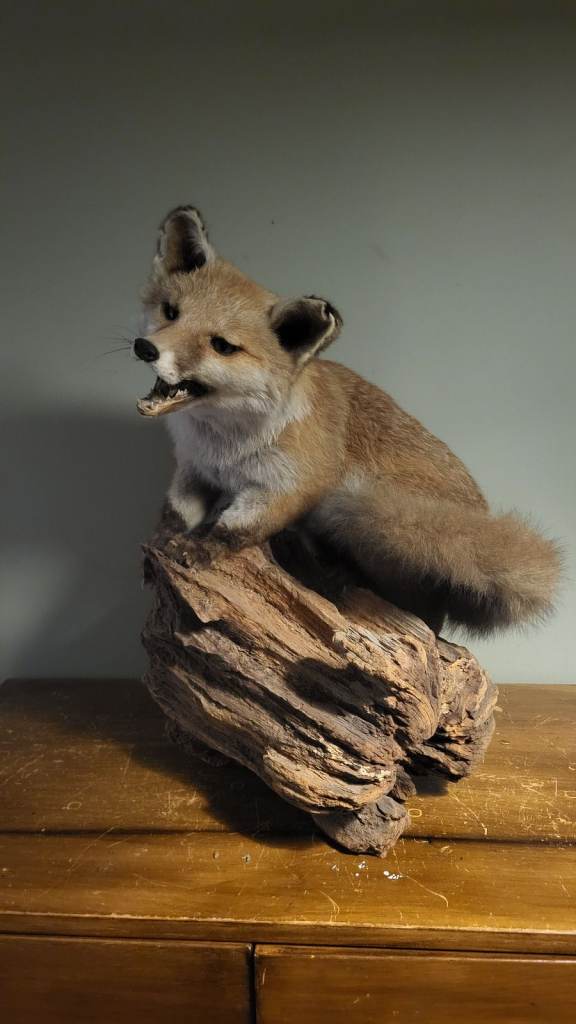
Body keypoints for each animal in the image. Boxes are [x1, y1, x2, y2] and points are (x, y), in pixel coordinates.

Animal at [135, 205, 562, 635]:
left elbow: (232, 531)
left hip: (362, 513)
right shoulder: (194, 468)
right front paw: (161, 547)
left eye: (222, 346)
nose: (145, 348)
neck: (225, 447)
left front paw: (197, 548)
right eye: (171, 312)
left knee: (403, 605)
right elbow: (176, 513)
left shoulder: (288, 487)